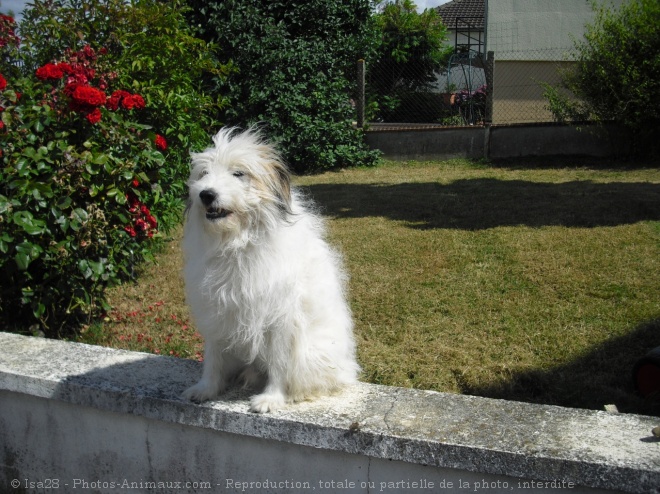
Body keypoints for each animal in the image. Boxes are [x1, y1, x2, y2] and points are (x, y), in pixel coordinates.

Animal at [182, 127, 360, 412]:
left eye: (238, 173)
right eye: (204, 173)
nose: (206, 194)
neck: (238, 243)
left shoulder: (280, 319)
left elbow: (279, 363)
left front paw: (271, 397)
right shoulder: (218, 312)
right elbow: (214, 358)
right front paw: (206, 388)